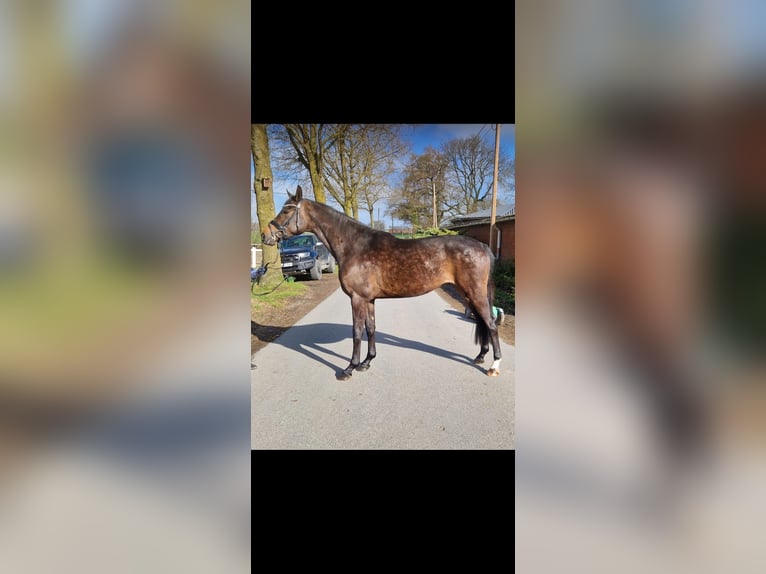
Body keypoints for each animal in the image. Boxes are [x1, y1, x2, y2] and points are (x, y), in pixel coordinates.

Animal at [261, 186, 503, 380]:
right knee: (482, 322)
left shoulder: (357, 299)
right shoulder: (369, 299)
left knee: (490, 323)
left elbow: (357, 332)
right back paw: (480, 356)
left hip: (475, 293)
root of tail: (482, 246)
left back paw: (494, 366)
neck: (354, 246)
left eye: (287, 210)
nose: (265, 235)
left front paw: (349, 368)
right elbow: (371, 328)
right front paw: (367, 363)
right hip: (468, 293)